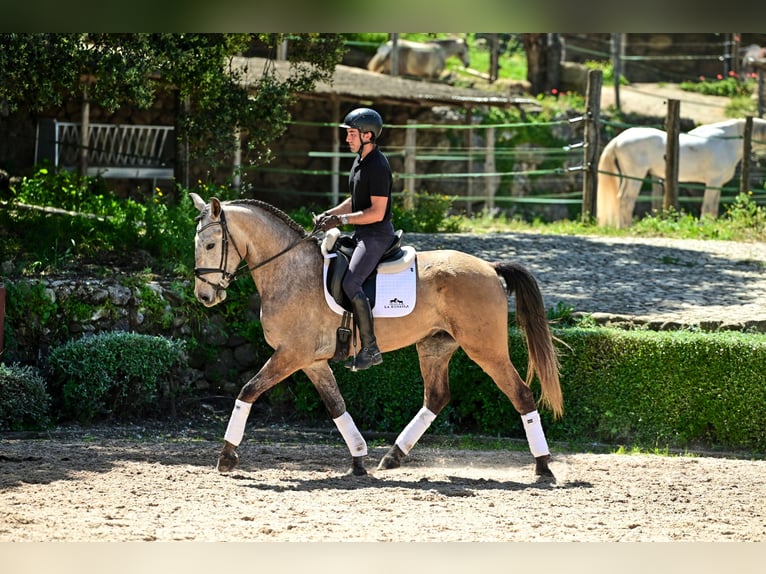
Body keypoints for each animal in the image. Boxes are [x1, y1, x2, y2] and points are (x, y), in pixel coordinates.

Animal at [192, 192, 564, 482]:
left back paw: (543, 466)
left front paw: (226, 456)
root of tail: (489, 267)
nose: (204, 297)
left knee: (521, 394)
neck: (290, 271)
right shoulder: (310, 360)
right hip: (435, 345)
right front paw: (358, 459)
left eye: (210, 244)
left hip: (486, 349)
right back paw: (393, 456)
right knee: (436, 397)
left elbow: (248, 390)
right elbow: (336, 405)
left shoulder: (291, 354)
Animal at [596, 118, 766, 228]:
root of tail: (619, 139)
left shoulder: (717, 184)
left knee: (620, 198)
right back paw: (628, 227)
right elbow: (708, 207)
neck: (727, 140)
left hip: (628, 177)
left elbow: (713, 208)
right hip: (636, 176)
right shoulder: (713, 182)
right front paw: (704, 226)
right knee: (626, 199)